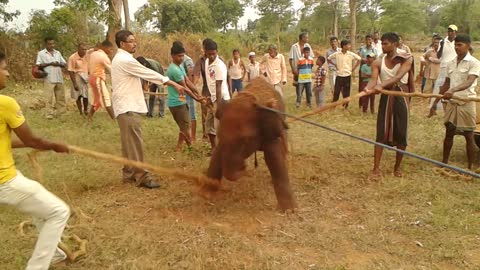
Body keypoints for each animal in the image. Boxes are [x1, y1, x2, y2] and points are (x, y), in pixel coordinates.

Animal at [206, 78, 296, 211]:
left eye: (246, 140)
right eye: (218, 134)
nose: (244, 167)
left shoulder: (270, 132)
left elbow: (273, 158)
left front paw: (289, 210)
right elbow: (217, 153)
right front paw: (206, 194)